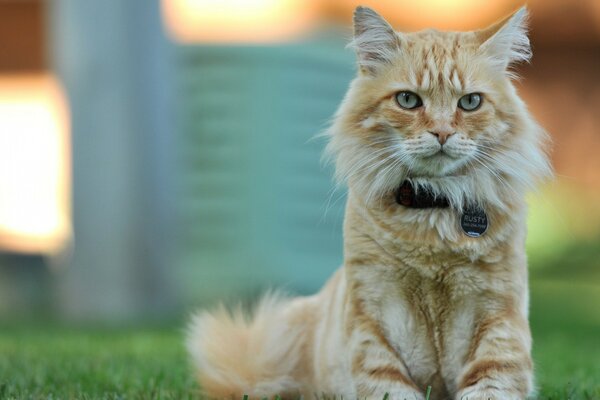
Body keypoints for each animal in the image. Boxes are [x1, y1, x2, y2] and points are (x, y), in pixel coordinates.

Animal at [185, 6, 552, 400]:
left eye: (470, 102)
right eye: (408, 100)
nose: (442, 133)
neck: (433, 208)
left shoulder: (499, 320)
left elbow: (491, 383)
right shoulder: (374, 318)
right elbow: (389, 384)